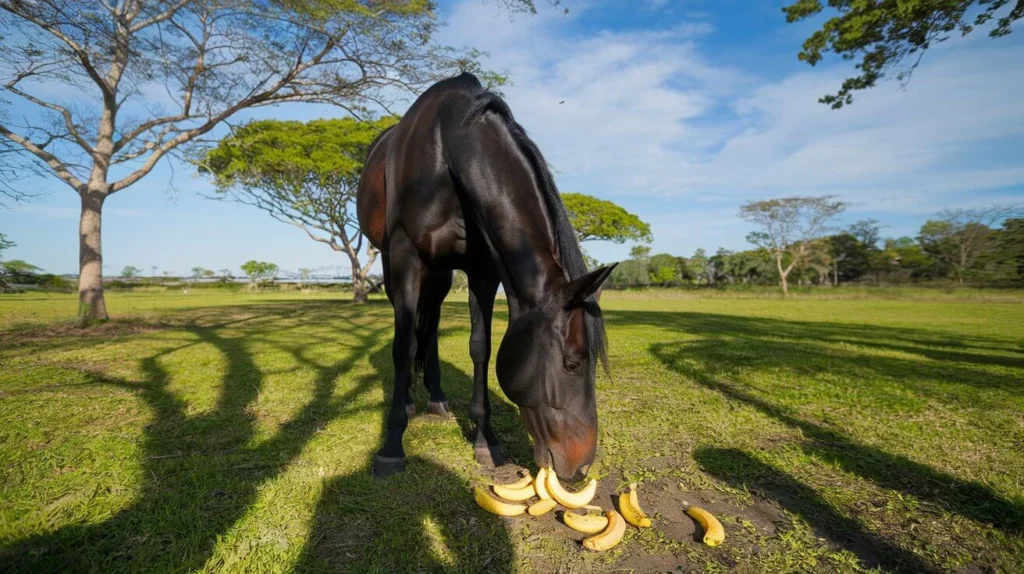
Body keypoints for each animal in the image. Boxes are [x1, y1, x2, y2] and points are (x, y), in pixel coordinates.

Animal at [358, 72, 614, 482]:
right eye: (573, 363)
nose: (581, 467)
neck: (447, 150)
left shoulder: (482, 272)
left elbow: (480, 348)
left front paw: (486, 440)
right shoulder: (406, 258)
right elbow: (403, 346)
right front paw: (393, 445)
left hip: (441, 272)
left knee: (431, 324)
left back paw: (437, 399)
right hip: (392, 263)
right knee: (412, 330)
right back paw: (412, 401)